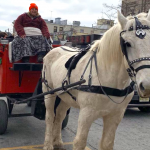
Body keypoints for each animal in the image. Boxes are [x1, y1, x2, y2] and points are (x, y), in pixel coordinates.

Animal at [42, 11, 150, 150]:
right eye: (127, 43)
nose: (147, 86)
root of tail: (54, 49)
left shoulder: (115, 115)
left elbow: (107, 144)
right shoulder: (86, 114)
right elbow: (80, 142)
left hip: (66, 96)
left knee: (60, 115)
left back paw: (58, 142)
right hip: (49, 92)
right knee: (50, 116)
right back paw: (48, 144)